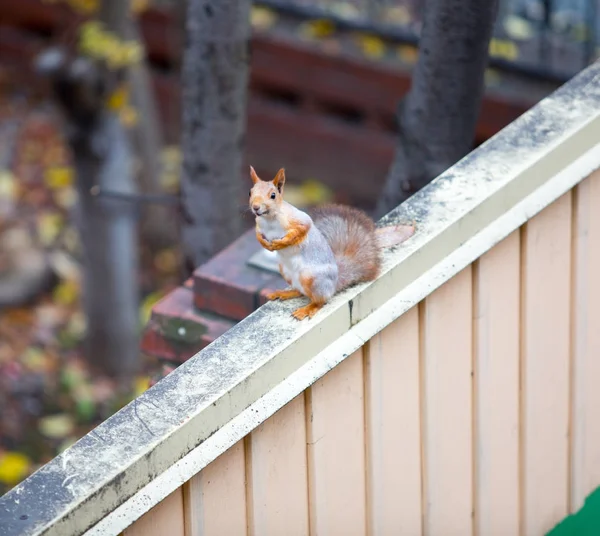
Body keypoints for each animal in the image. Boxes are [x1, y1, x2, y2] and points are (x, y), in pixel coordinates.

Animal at [248, 165, 380, 320]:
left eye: (273, 195)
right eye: (250, 192)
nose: (256, 207)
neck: (269, 219)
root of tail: (334, 284)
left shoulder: (300, 220)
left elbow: (301, 230)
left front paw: (280, 243)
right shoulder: (259, 225)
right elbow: (258, 234)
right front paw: (264, 243)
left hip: (311, 277)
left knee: (320, 301)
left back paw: (307, 309)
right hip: (286, 271)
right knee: (301, 292)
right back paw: (285, 293)